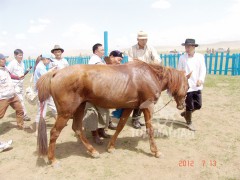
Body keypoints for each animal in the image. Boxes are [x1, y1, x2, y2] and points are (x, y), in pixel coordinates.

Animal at [37, 60, 191, 165]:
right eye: (188, 86)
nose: (182, 105)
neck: (150, 75)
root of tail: (56, 72)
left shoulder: (129, 107)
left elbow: (120, 126)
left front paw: (111, 147)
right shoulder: (147, 107)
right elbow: (150, 129)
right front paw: (156, 151)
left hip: (80, 107)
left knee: (77, 128)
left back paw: (93, 151)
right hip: (66, 112)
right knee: (55, 132)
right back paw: (52, 159)